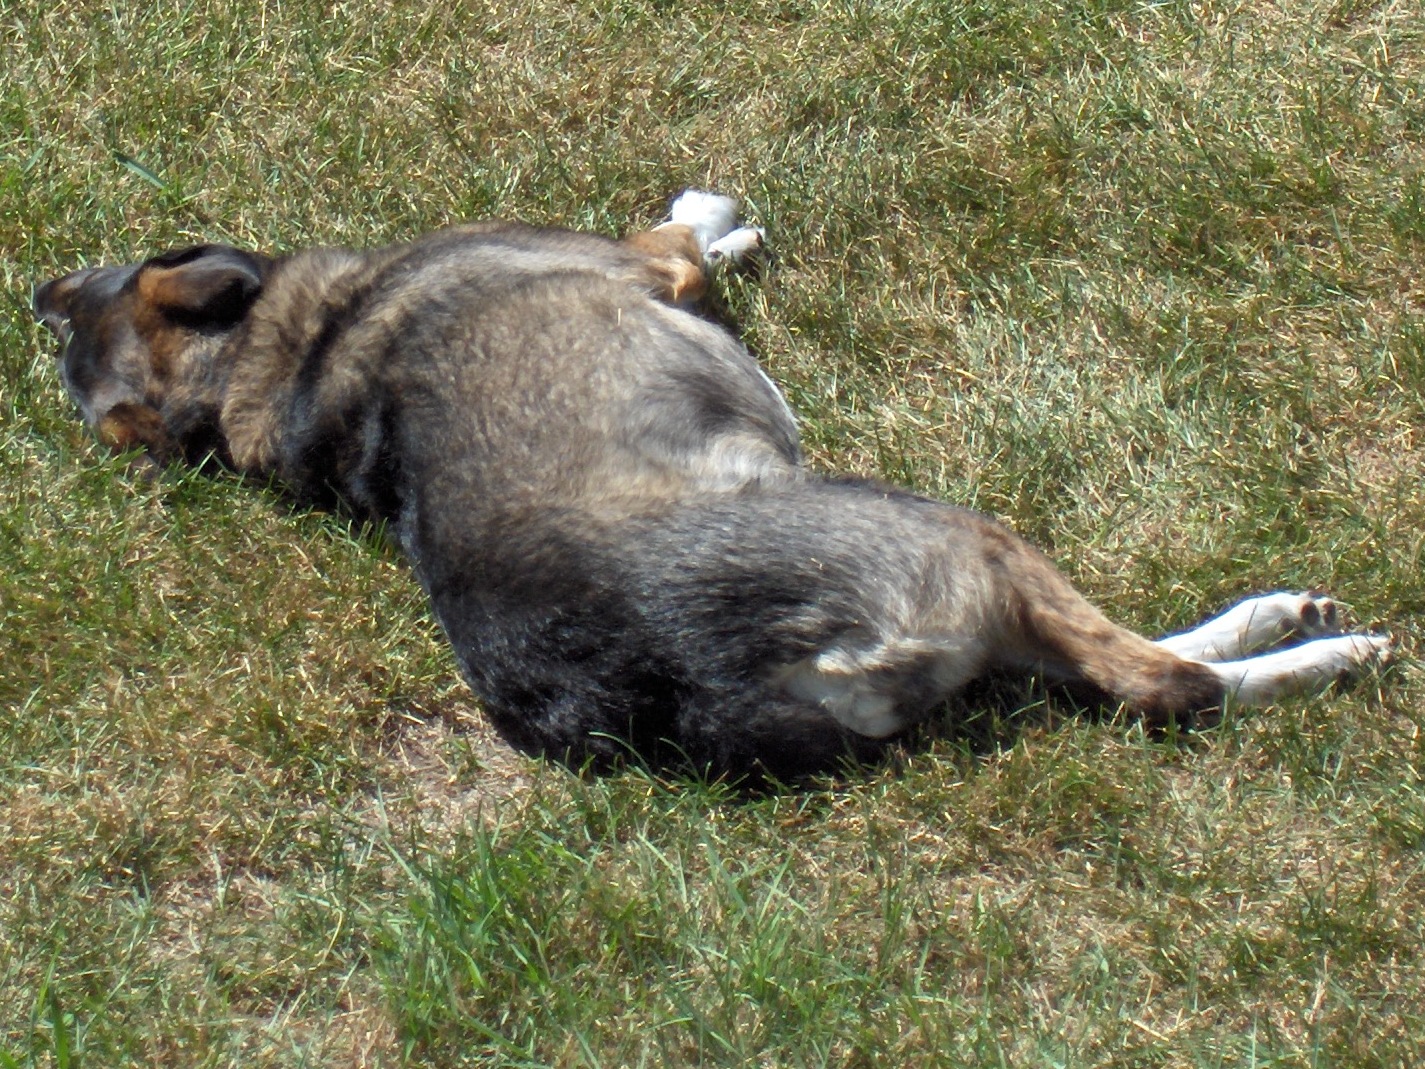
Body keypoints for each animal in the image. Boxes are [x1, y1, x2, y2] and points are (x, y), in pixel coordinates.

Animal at [32, 191, 1392, 781]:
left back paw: (1288, 626)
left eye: (85, 294)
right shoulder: (641, 266)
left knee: (1118, 674)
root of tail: (709, 680)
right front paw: (725, 212)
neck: (277, 363)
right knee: (1161, 688)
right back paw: (1317, 647)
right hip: (954, 534)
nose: (37, 287)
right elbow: (683, 231)